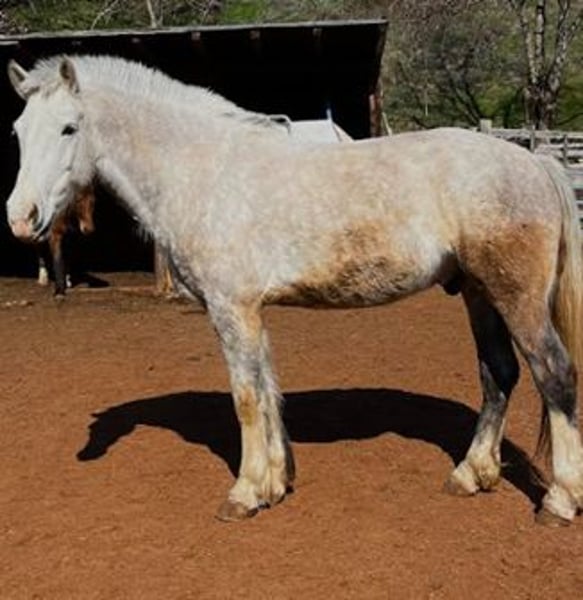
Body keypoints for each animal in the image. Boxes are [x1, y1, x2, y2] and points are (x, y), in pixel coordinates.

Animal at [5, 54, 583, 526]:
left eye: (69, 127)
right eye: (17, 131)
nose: (20, 217)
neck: (203, 170)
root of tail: (534, 162)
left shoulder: (232, 310)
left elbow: (245, 398)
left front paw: (244, 493)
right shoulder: (250, 312)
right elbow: (267, 391)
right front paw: (275, 483)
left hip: (518, 300)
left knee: (554, 376)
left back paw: (559, 501)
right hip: (478, 293)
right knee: (499, 374)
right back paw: (470, 475)